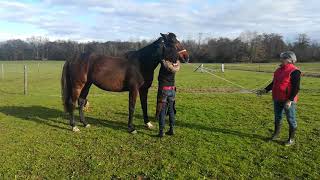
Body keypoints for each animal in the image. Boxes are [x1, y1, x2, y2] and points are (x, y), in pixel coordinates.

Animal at [61, 32, 189, 134]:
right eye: (173, 43)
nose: (186, 57)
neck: (141, 63)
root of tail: (73, 58)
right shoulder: (134, 89)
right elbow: (131, 107)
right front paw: (131, 128)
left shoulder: (144, 89)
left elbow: (144, 106)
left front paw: (148, 124)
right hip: (78, 85)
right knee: (72, 102)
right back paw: (74, 126)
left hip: (87, 85)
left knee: (81, 101)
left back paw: (85, 123)